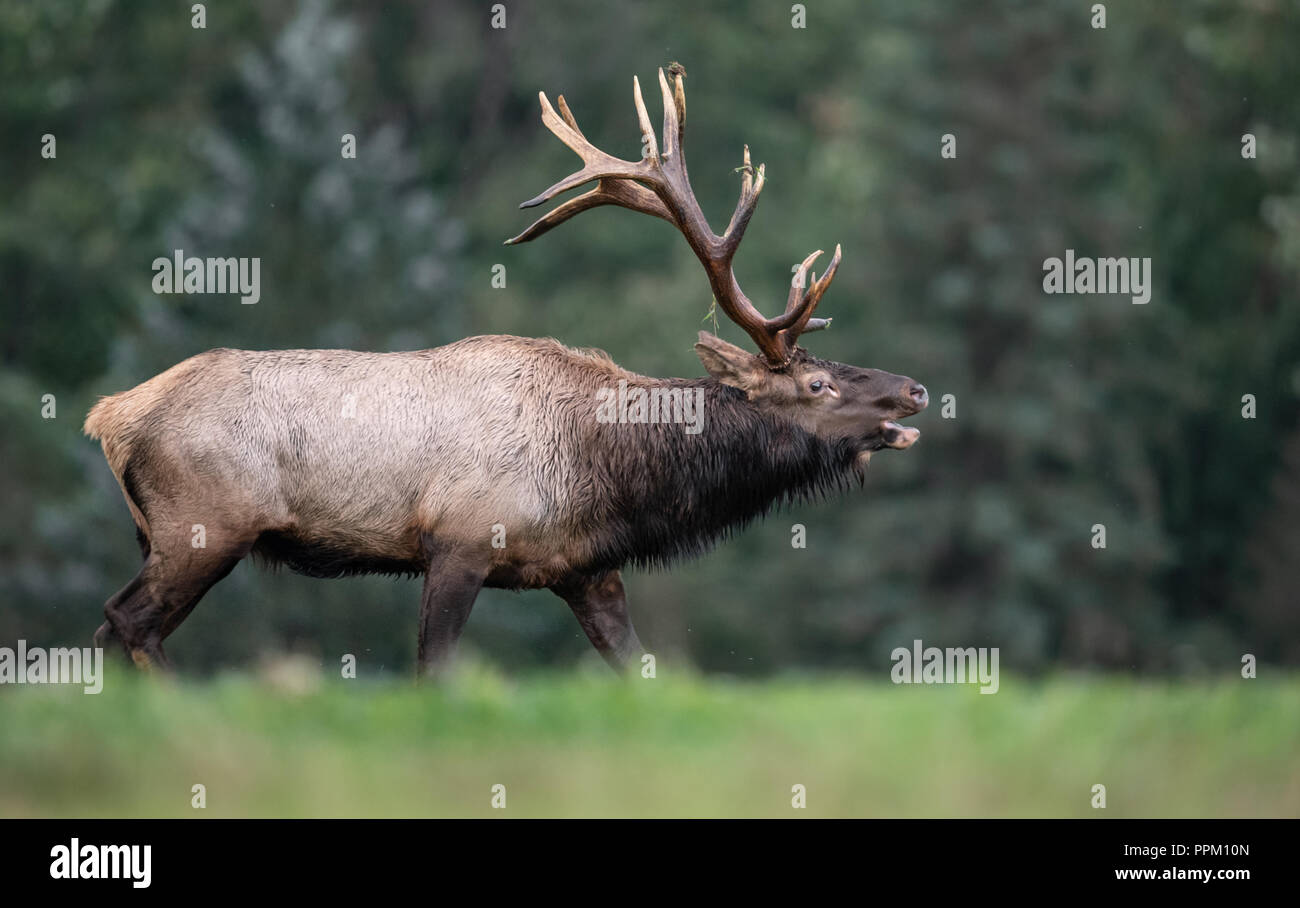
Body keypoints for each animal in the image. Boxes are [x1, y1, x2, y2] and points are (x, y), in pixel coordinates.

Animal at [83, 68, 927, 676]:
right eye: (816, 385)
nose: (914, 388)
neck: (606, 472)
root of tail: (110, 415)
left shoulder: (585, 569)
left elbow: (639, 670)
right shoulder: (458, 541)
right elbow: (434, 671)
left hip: (169, 534)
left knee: (109, 627)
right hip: (204, 525)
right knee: (127, 619)